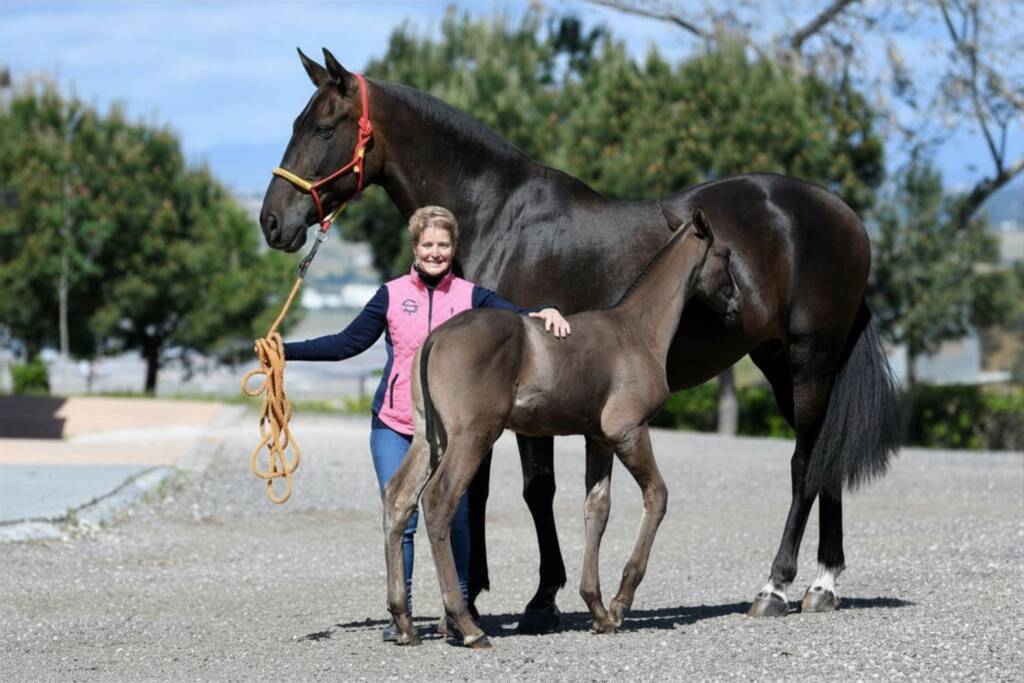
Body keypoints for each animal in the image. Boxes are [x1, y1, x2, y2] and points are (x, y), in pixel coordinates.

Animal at [383, 209, 740, 648]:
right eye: (725, 255)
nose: (738, 305)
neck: (638, 330)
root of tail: (436, 337)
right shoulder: (629, 430)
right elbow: (657, 496)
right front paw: (620, 603)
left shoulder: (599, 439)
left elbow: (597, 509)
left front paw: (598, 610)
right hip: (472, 436)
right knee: (438, 501)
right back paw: (466, 625)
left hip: (429, 439)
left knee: (399, 498)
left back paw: (404, 621)